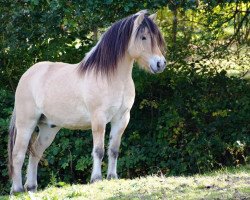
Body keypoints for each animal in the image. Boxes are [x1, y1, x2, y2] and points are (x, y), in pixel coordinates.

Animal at [7, 10, 166, 194]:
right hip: (26, 124)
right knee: (18, 154)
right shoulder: (99, 119)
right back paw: (17, 189)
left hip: (48, 128)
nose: (160, 64)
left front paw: (112, 177)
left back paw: (31, 187)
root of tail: (28, 75)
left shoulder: (122, 119)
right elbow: (99, 150)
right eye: (143, 37)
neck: (112, 78)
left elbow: (113, 150)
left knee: (35, 153)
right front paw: (96, 179)